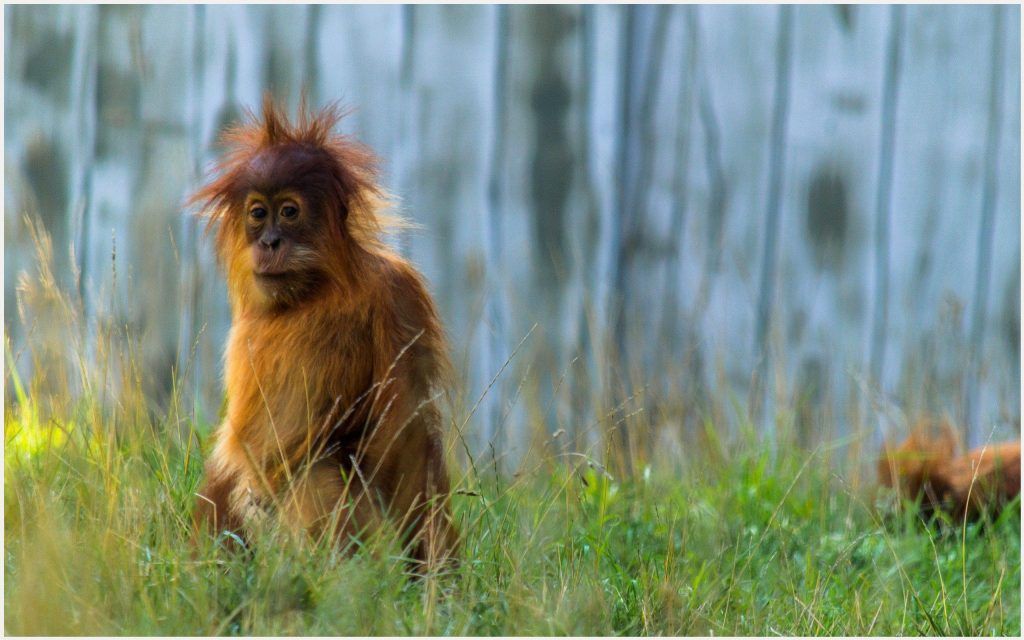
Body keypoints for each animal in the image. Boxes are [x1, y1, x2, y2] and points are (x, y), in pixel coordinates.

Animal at [189, 96, 459, 570]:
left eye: (289, 211)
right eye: (258, 213)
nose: (270, 242)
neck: (314, 291)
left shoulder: (398, 295)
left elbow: (406, 426)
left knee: (318, 473)